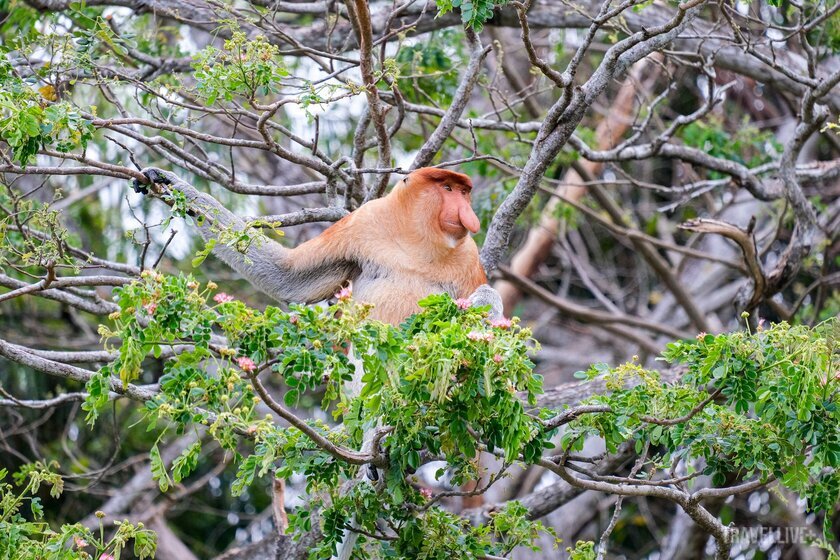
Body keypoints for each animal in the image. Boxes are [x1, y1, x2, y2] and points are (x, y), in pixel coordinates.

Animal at [130, 166, 498, 322]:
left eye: (464, 192)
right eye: (447, 189)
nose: (468, 214)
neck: (417, 244)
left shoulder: (468, 258)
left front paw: (482, 303)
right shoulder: (363, 225)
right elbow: (288, 277)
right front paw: (172, 183)